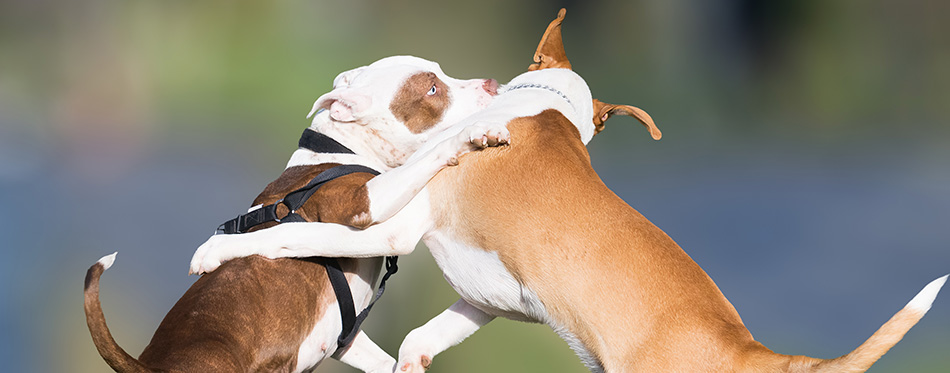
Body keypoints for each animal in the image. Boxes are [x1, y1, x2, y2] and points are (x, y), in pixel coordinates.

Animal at [190, 9, 948, 372]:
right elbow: (421, 340)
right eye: (430, 86)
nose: (488, 85)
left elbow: (298, 231)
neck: (545, 110)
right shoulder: (483, 295)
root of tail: (755, 353)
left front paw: (218, 250)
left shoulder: (395, 225)